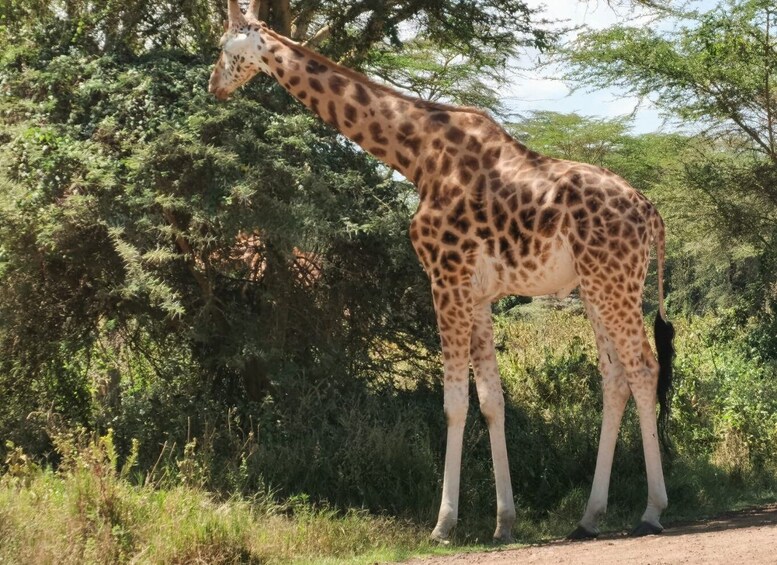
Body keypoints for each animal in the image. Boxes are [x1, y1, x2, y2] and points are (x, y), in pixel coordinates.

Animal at [208, 0, 672, 540]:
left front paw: (444, 523)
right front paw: (503, 522)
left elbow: (453, 403)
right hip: (597, 287)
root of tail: (652, 214)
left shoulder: (444, 277)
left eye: (224, 46)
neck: (415, 156)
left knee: (643, 369)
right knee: (615, 379)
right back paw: (589, 516)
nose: (214, 85)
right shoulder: (479, 292)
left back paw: (652, 510)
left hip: (614, 281)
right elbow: (492, 400)